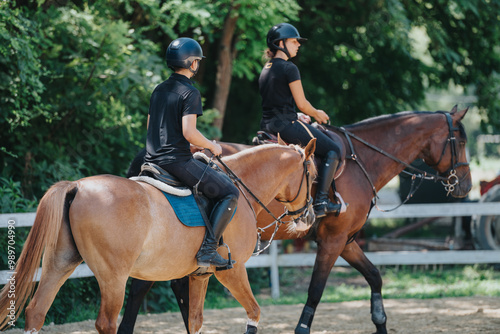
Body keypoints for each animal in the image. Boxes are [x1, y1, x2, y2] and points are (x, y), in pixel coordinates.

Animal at [0, 141, 316, 334]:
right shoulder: (232, 271)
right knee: (105, 322)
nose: (310, 217)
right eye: (312, 175)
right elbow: (254, 312)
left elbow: (195, 321)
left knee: (36, 311)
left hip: (60, 263)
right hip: (113, 277)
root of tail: (77, 186)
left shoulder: (200, 275)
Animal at [119, 106, 470, 334]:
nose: (465, 186)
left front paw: (381, 322)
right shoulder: (332, 241)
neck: (362, 162)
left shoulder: (347, 241)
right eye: (462, 142)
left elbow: (375, 277)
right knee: (139, 290)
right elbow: (315, 291)